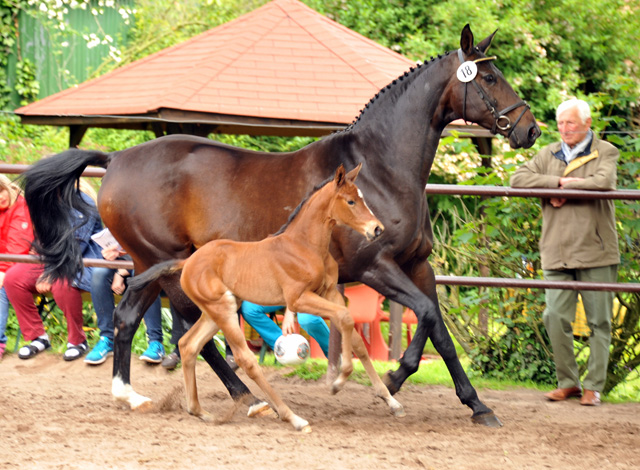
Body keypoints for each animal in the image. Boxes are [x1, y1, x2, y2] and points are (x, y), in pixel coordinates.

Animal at [130, 163, 404, 432]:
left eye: (361, 198)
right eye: (350, 201)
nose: (377, 229)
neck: (305, 246)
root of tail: (187, 262)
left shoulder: (330, 293)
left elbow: (356, 338)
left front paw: (390, 401)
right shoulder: (298, 299)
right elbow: (346, 318)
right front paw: (339, 381)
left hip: (215, 311)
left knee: (188, 345)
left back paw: (199, 411)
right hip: (223, 309)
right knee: (246, 359)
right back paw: (292, 417)